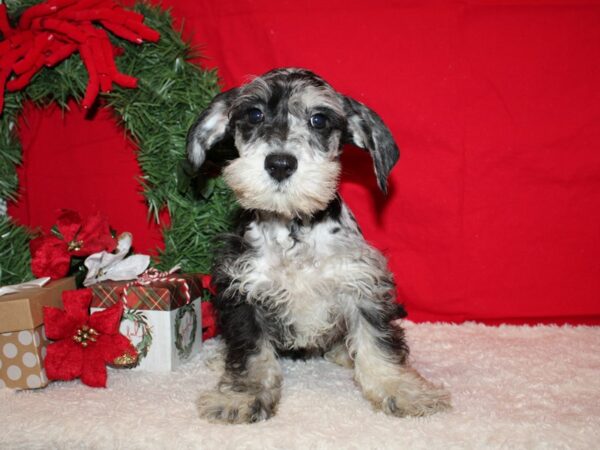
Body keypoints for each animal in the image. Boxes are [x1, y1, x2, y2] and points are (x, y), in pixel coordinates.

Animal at [188, 68, 450, 424]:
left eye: (319, 119)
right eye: (254, 114)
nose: (280, 163)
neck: (293, 230)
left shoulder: (361, 285)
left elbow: (377, 343)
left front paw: (403, 390)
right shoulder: (243, 292)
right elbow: (251, 354)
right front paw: (241, 397)